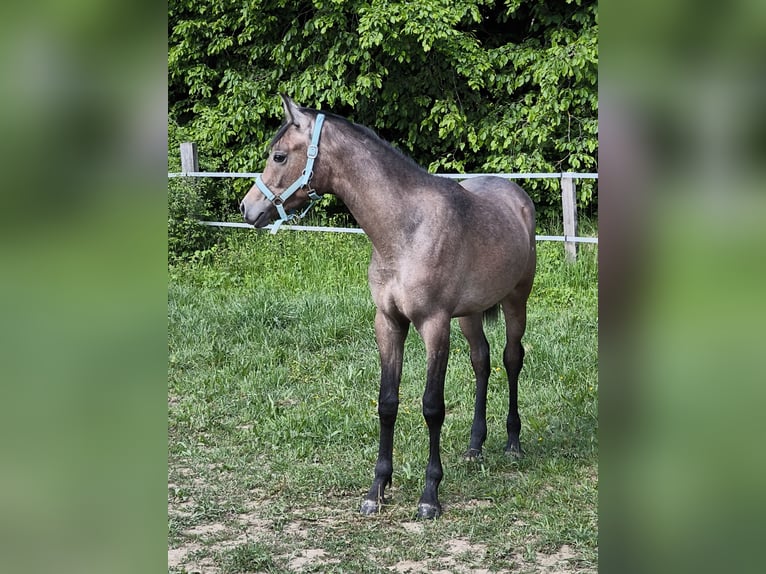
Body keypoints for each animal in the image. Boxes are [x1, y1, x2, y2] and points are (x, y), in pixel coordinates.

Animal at [240, 95, 536, 519]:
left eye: (279, 156)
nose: (248, 208)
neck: (405, 231)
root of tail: (516, 195)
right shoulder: (388, 323)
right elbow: (387, 403)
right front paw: (376, 489)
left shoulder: (434, 325)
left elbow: (432, 407)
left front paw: (429, 496)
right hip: (470, 315)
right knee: (482, 361)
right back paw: (475, 446)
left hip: (515, 302)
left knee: (512, 359)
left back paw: (513, 443)